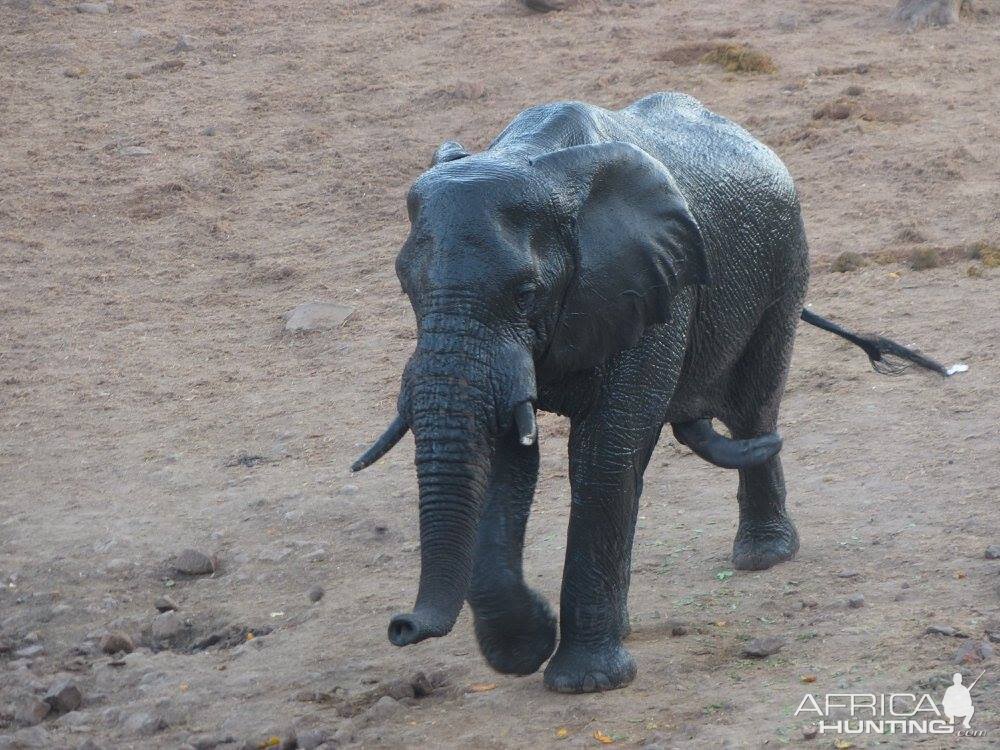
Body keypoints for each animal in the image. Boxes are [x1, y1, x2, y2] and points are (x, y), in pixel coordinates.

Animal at [350, 95, 944, 700]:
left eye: (525, 293)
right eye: (407, 289)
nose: (400, 628)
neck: (533, 160)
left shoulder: (655, 287)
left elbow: (605, 454)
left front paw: (584, 682)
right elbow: (505, 457)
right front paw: (527, 648)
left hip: (786, 263)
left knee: (753, 408)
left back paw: (763, 556)